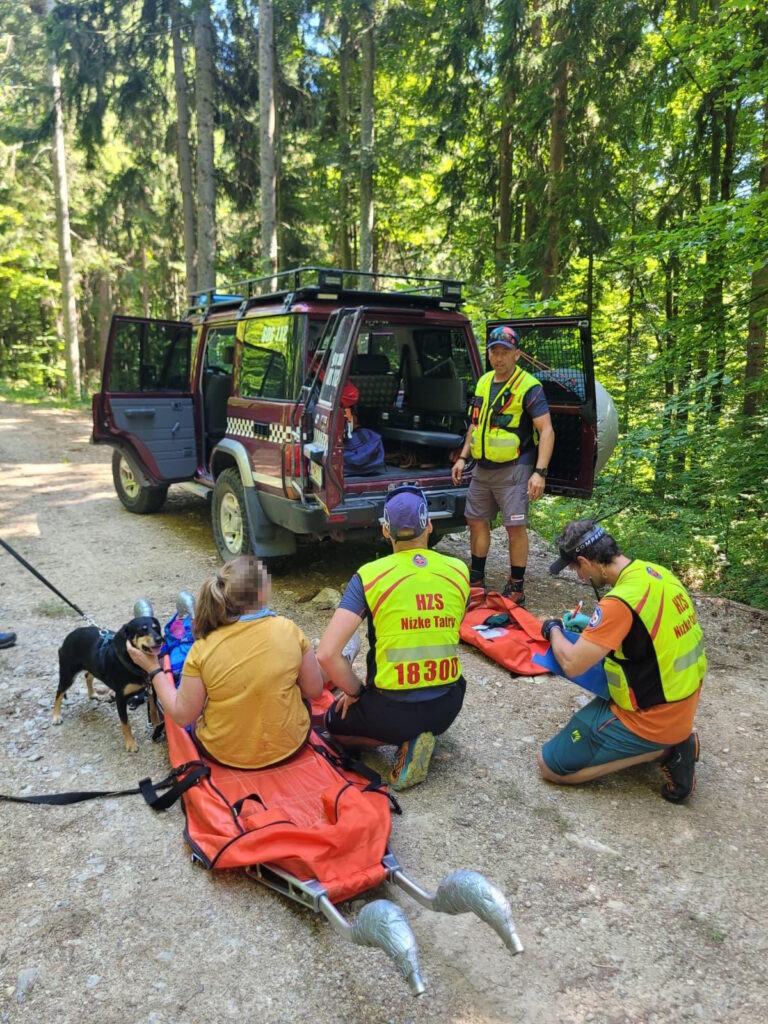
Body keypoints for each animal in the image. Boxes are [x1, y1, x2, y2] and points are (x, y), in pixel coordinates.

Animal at [53, 616, 163, 752]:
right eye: (142, 629)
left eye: (156, 627)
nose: (160, 639)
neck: (133, 662)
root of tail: (69, 636)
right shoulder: (120, 698)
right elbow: (126, 724)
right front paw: (130, 744)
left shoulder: (151, 688)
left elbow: (153, 710)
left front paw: (156, 724)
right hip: (68, 675)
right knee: (59, 692)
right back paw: (56, 716)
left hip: (92, 666)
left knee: (87, 676)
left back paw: (93, 694)